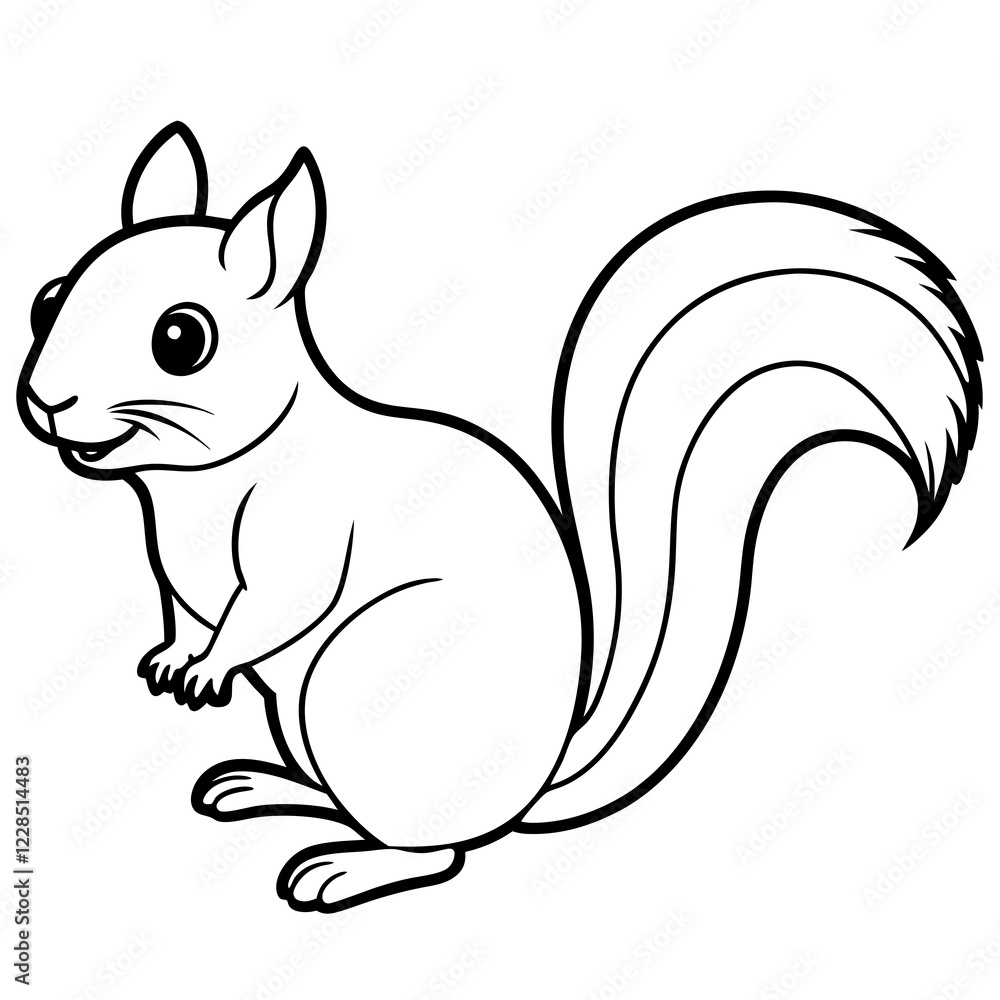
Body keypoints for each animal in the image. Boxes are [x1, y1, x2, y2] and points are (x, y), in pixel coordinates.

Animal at [17, 122, 981, 912]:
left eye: (181, 339)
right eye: (48, 298)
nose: (43, 403)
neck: (195, 484)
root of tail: (533, 788)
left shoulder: (307, 535)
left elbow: (275, 603)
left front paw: (210, 667)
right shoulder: (170, 565)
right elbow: (183, 606)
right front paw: (174, 657)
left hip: (350, 690)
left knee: (435, 853)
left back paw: (343, 867)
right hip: (302, 716)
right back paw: (266, 788)